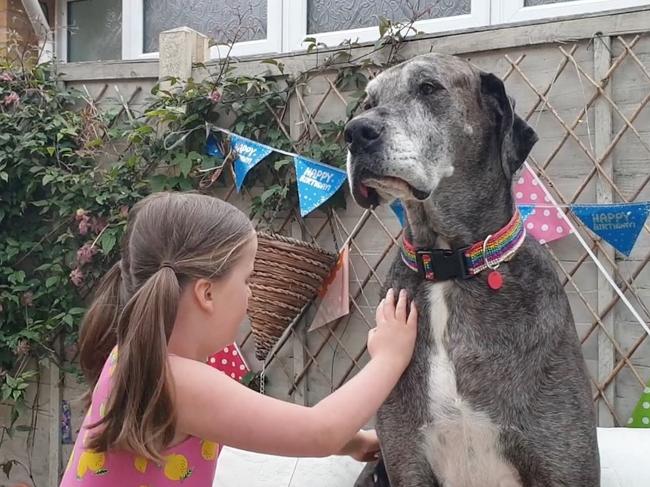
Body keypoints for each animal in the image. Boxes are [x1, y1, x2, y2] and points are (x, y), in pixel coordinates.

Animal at [344, 54, 596, 487]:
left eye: (429, 88)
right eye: (368, 101)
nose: (355, 132)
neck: (451, 265)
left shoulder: (564, 467)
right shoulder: (407, 462)